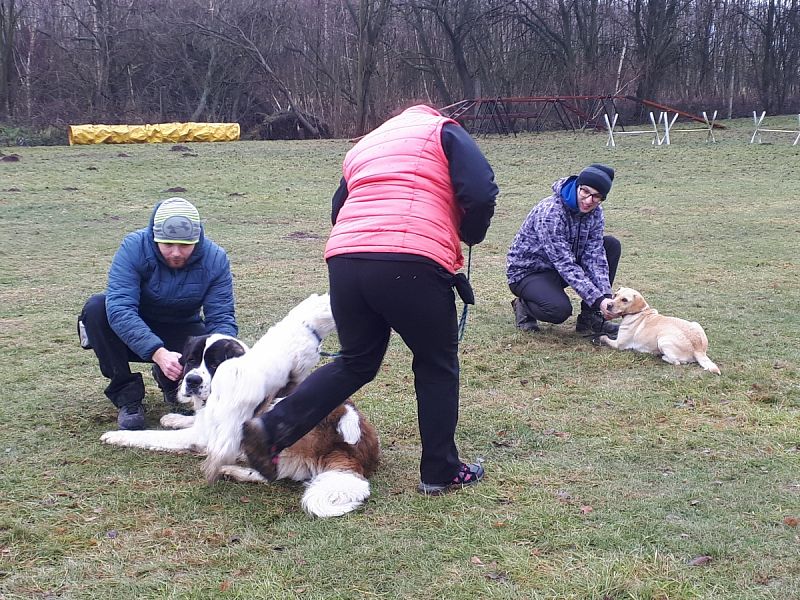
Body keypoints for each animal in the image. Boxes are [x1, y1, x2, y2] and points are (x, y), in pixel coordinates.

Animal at [100, 292, 382, 516]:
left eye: (214, 365)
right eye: (190, 360)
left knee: (268, 472)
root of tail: (351, 442)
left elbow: (150, 436)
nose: (192, 381)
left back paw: (228, 467)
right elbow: (192, 418)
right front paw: (173, 418)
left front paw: (117, 436)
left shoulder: (202, 433)